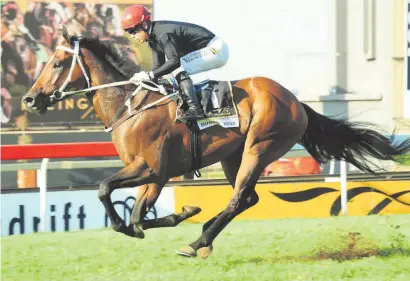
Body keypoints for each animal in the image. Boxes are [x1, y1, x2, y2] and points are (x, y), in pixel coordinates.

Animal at [21, 27, 410, 258]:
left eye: (58, 64)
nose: (29, 99)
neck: (129, 107)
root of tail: (296, 101)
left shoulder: (150, 169)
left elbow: (107, 193)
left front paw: (178, 217)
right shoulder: (156, 175)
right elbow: (137, 216)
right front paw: (184, 213)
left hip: (259, 146)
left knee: (239, 198)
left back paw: (198, 243)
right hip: (231, 157)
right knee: (247, 198)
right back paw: (205, 233)